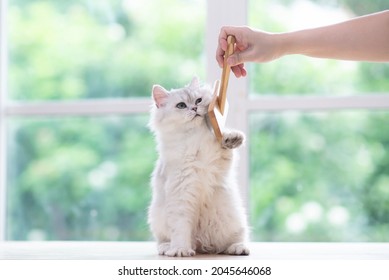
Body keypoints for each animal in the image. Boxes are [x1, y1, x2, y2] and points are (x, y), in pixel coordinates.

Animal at [149, 77, 249, 258]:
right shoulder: (181, 191)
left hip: (234, 219)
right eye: (181, 105)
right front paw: (180, 251)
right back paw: (168, 249)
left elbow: (226, 142)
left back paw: (238, 248)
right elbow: (180, 229)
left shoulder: (221, 160)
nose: (195, 108)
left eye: (198, 100)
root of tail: (203, 245)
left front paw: (232, 138)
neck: (194, 138)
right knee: (163, 240)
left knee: (235, 240)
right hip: (157, 218)